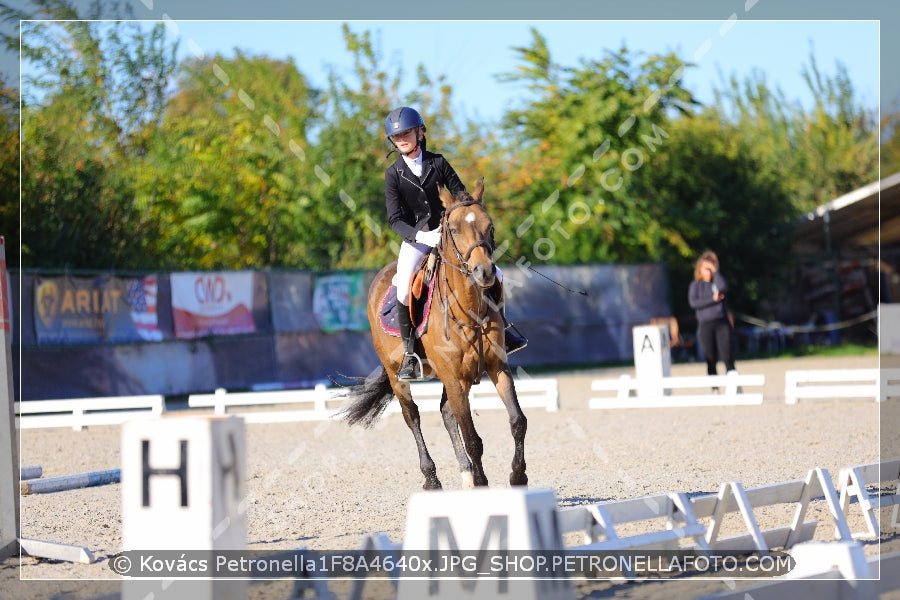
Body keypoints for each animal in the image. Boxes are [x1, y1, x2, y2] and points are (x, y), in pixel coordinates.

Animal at [340, 180, 528, 490]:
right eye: (453, 229)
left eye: (490, 226)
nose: (485, 272)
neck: (469, 310)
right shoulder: (453, 377)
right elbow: (473, 439)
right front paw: (482, 485)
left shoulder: (496, 366)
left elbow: (517, 421)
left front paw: (518, 476)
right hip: (399, 376)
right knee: (413, 417)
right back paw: (432, 479)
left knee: (446, 413)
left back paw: (465, 474)